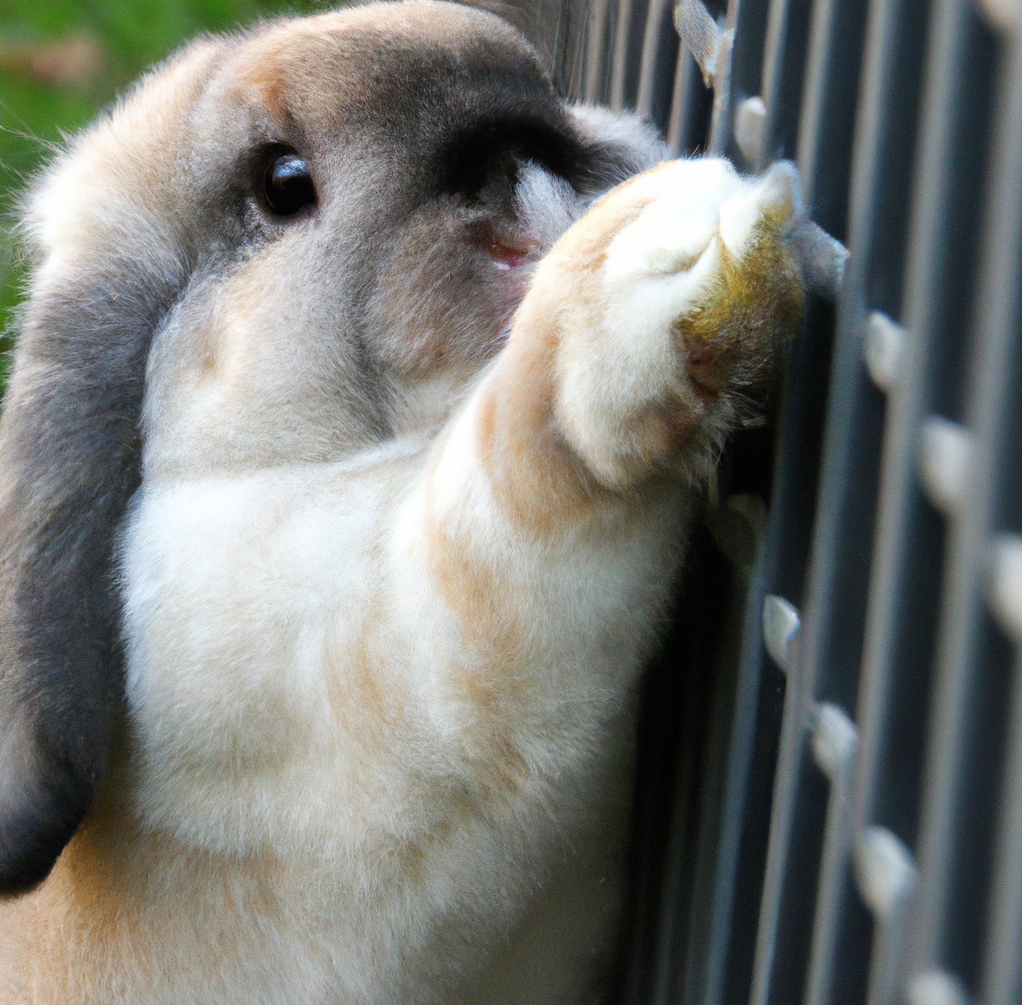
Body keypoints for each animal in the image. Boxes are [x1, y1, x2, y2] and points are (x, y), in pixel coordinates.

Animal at [0, 3, 801, 1001]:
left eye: (549, 106)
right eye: (283, 184)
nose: (515, 152)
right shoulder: (380, 665)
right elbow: (514, 473)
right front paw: (671, 256)